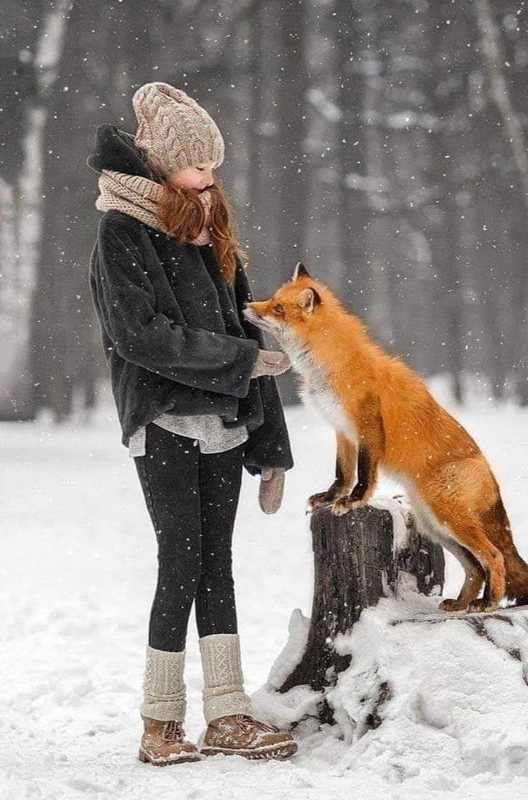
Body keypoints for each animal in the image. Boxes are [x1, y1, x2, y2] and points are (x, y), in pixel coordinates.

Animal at [242, 261, 528, 614]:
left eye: (278, 308)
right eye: (273, 300)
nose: (247, 306)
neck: (332, 366)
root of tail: (488, 471)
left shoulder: (367, 428)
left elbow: (364, 473)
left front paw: (353, 501)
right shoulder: (343, 431)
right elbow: (342, 473)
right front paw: (330, 498)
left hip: (450, 518)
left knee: (495, 556)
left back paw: (488, 602)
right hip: (434, 525)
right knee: (475, 567)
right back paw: (461, 603)